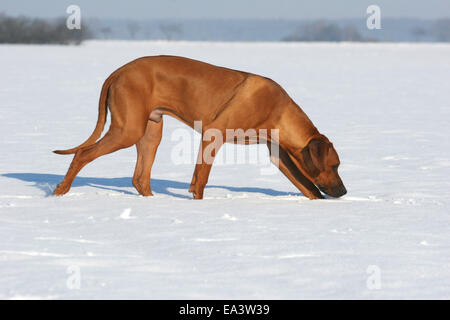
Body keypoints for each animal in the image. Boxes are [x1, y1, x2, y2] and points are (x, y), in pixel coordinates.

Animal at [53, 56, 348, 199]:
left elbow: (310, 189)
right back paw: (60, 192)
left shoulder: (281, 156)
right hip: (128, 130)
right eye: (334, 165)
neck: (279, 109)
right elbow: (201, 181)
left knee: (140, 178)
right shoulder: (213, 134)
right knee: (83, 154)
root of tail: (118, 71)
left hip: (151, 131)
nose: (344, 191)